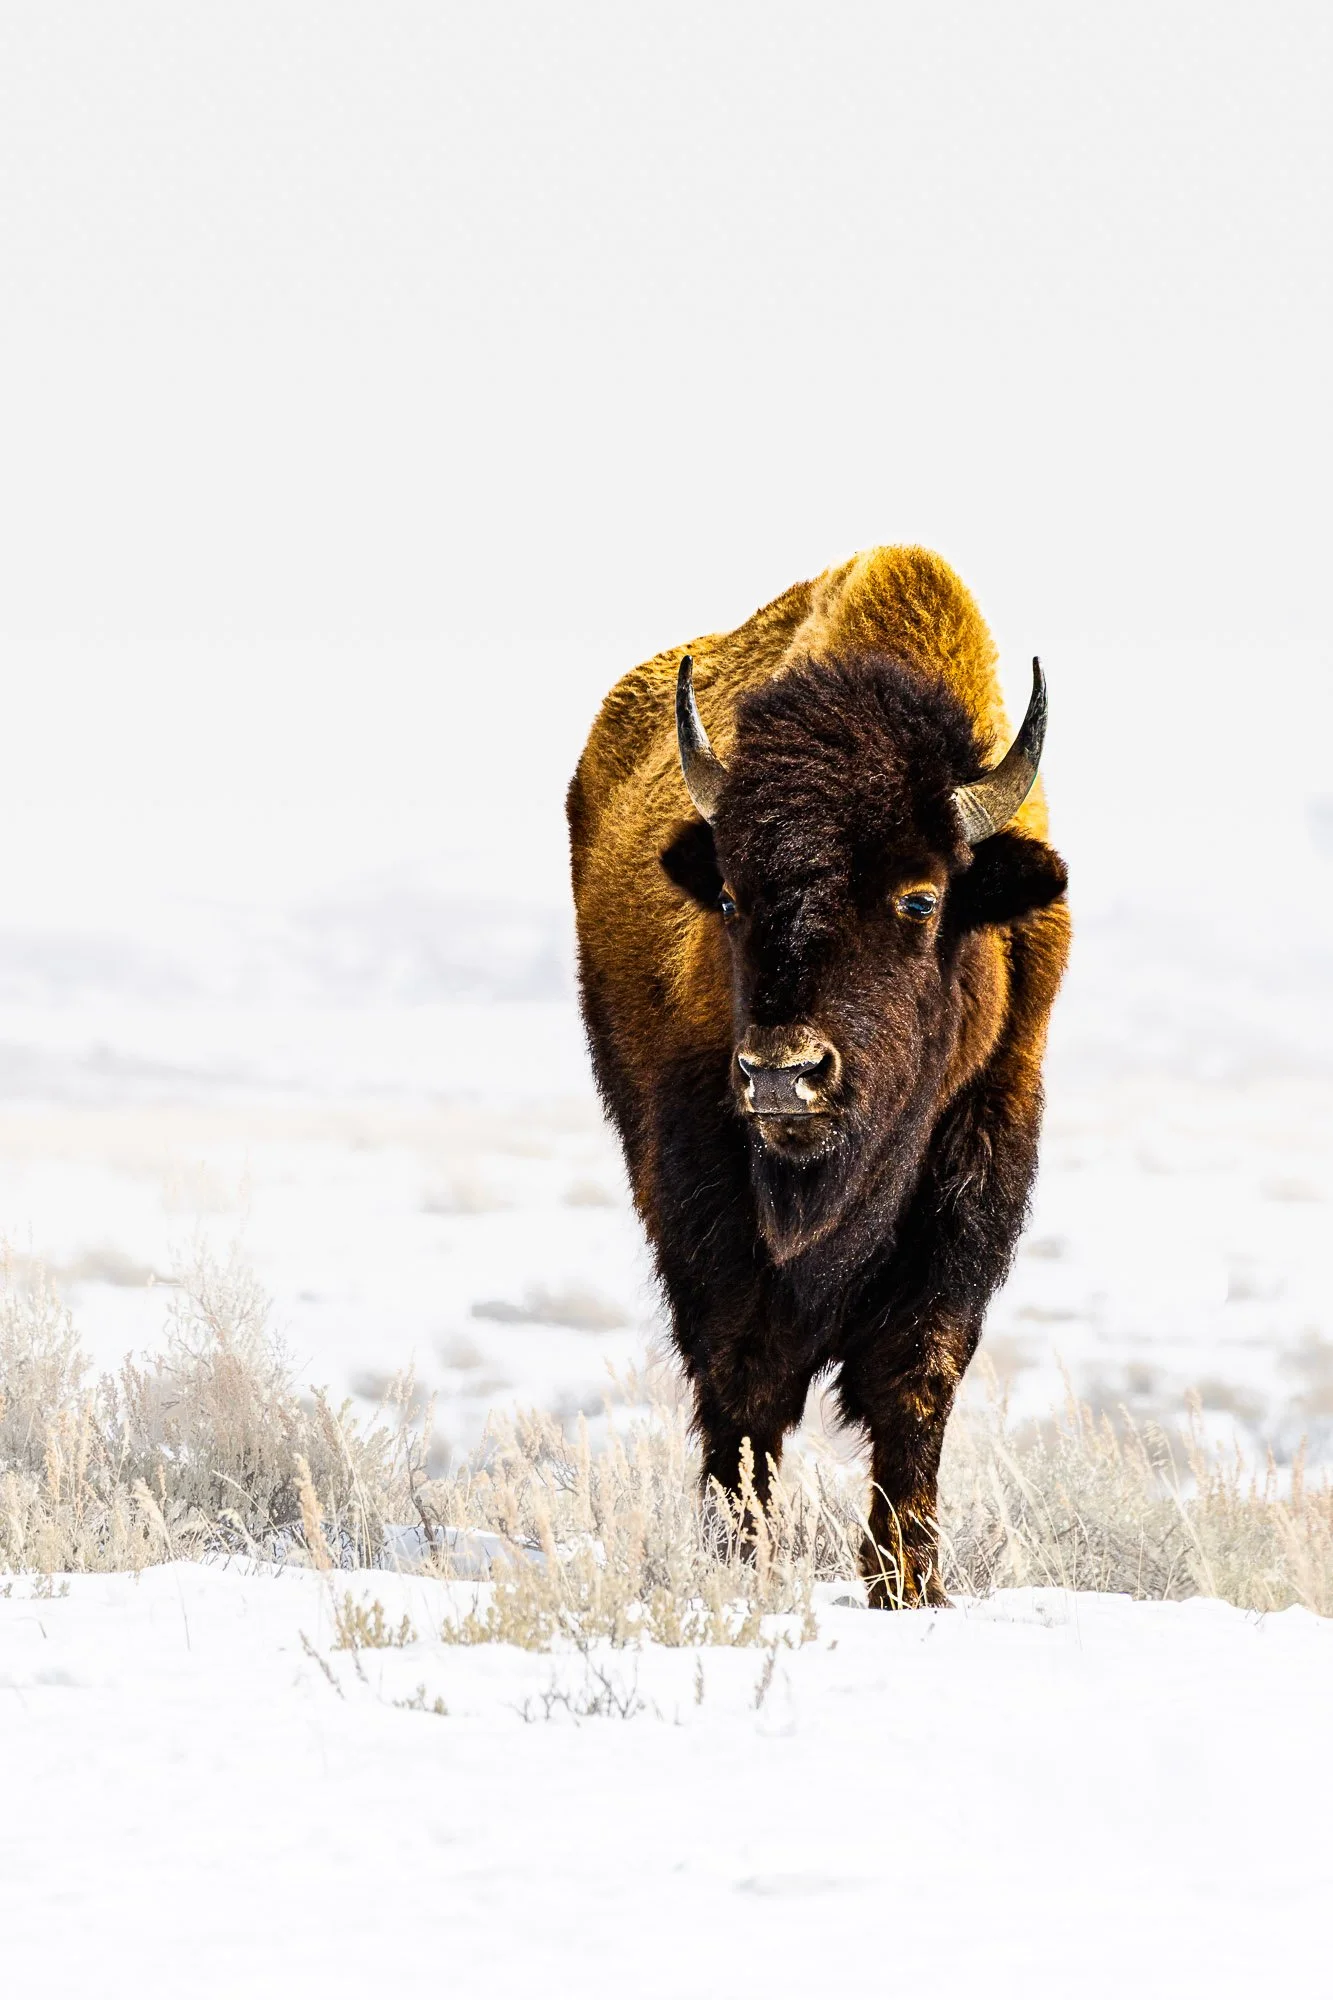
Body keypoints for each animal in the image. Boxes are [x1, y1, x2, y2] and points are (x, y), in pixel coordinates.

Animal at [567, 546, 1069, 1604]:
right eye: (727, 895)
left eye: (920, 898)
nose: (782, 1076)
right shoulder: (702, 1186)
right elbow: (742, 1376)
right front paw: (739, 1562)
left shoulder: (977, 1167)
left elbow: (916, 1375)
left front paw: (907, 1580)